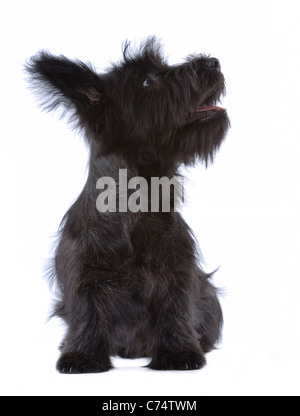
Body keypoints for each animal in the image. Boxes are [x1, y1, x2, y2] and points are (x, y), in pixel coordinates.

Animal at [27, 37, 230, 372]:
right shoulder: (85, 272)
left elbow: (174, 309)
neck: (139, 200)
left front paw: (179, 353)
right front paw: (82, 356)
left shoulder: (176, 270)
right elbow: (87, 312)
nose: (213, 62)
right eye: (147, 81)